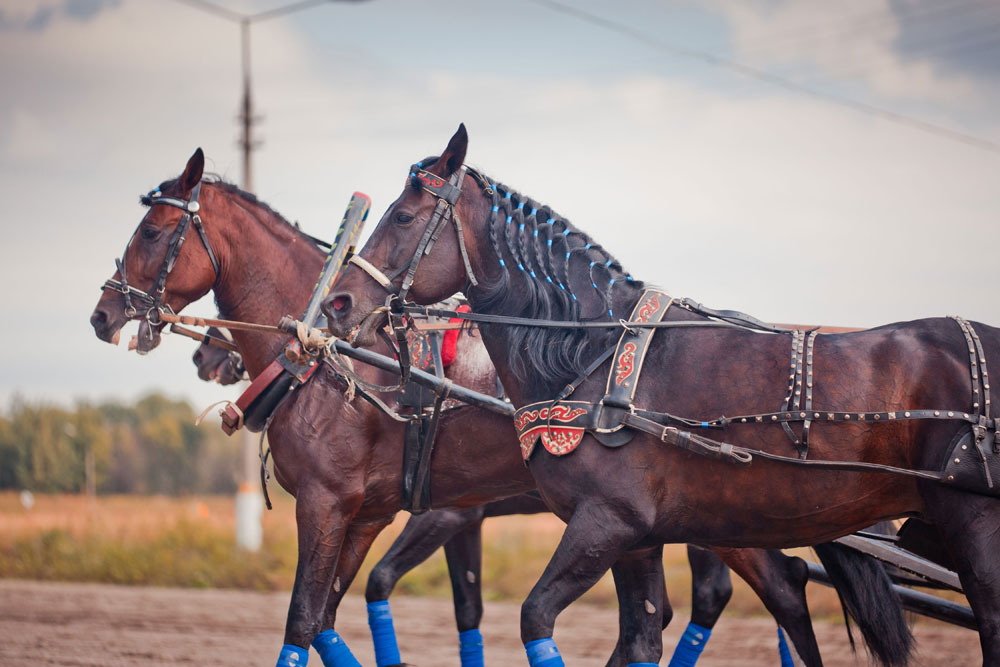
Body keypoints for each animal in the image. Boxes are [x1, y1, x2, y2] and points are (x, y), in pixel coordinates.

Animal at [89, 148, 903, 667]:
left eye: (154, 232)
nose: (102, 313)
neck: (336, 354)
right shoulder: (379, 511)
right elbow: (348, 617)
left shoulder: (347, 504)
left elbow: (305, 618)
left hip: (731, 513)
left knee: (782, 593)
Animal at [323, 124, 999, 666]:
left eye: (402, 218)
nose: (339, 303)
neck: (594, 356)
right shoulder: (637, 538)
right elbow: (639, 639)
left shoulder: (604, 523)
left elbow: (535, 616)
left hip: (970, 527)